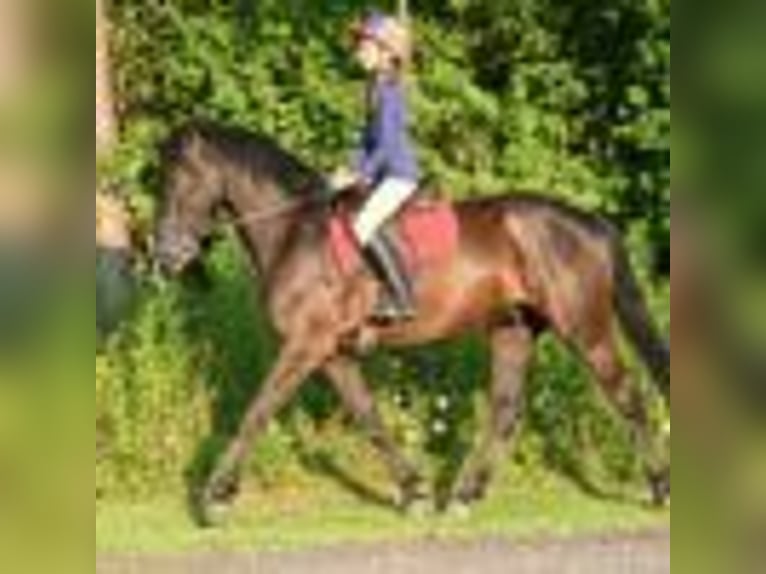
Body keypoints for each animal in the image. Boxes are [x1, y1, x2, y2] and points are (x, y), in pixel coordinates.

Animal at [155, 121, 670, 525]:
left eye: (182, 178)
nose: (166, 257)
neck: (294, 233)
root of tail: (590, 222)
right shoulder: (331, 352)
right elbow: (369, 416)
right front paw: (415, 492)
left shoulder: (306, 344)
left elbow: (258, 410)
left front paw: (215, 499)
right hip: (513, 329)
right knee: (505, 410)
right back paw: (464, 497)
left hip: (585, 329)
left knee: (628, 397)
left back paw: (659, 490)